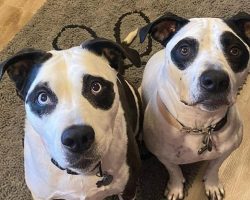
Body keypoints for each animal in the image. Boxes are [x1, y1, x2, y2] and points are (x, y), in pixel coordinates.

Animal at [124, 11, 250, 199]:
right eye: (184, 50)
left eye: (235, 51)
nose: (215, 80)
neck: (200, 126)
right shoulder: (163, 156)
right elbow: (174, 170)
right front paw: (175, 188)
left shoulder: (227, 151)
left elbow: (214, 167)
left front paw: (212, 184)